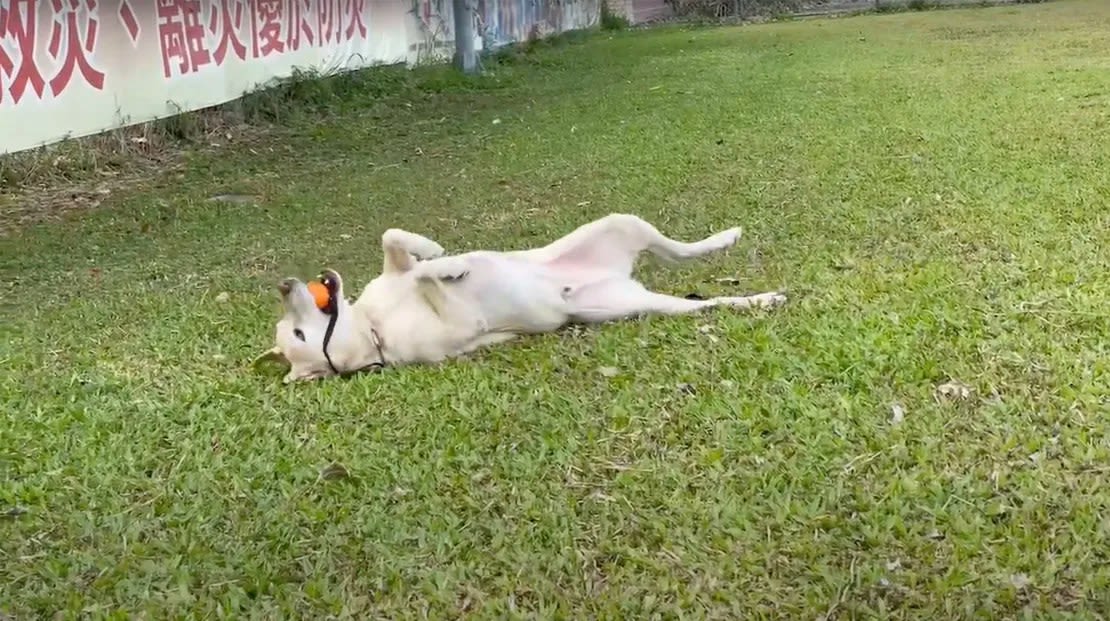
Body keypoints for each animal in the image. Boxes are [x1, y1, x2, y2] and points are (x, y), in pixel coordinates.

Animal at [254, 212, 785, 384]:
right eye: (298, 332)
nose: (284, 285)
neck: (373, 326)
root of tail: (617, 278)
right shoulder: (458, 327)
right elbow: (428, 279)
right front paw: (449, 266)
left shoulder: (393, 272)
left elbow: (399, 245)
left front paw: (440, 254)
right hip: (629, 306)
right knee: (702, 302)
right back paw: (761, 299)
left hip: (621, 223)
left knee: (681, 249)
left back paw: (725, 238)